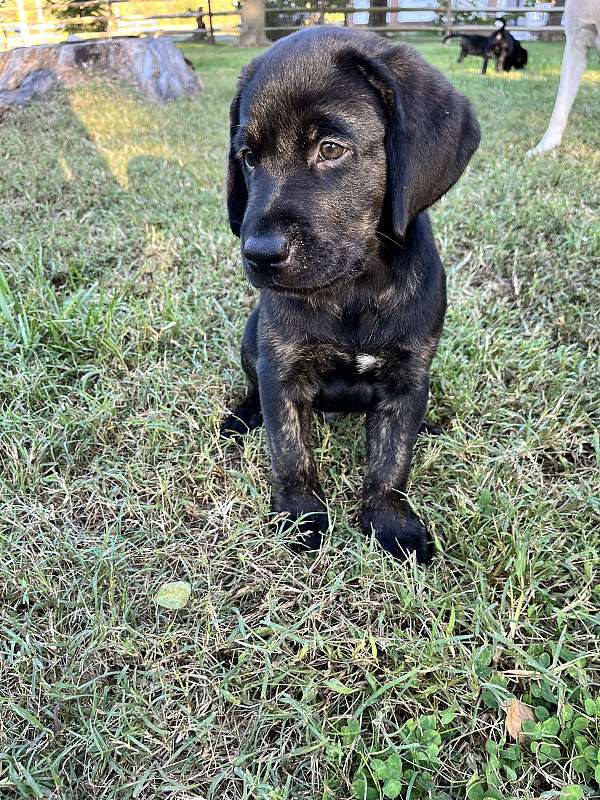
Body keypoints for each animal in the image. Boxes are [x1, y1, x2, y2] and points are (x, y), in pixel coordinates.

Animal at [220, 25, 478, 564]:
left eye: (331, 148)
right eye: (248, 158)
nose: (259, 253)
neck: (353, 289)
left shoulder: (408, 377)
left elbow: (391, 461)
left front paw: (389, 520)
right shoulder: (282, 369)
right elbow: (290, 450)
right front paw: (300, 515)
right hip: (252, 338)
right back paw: (244, 415)